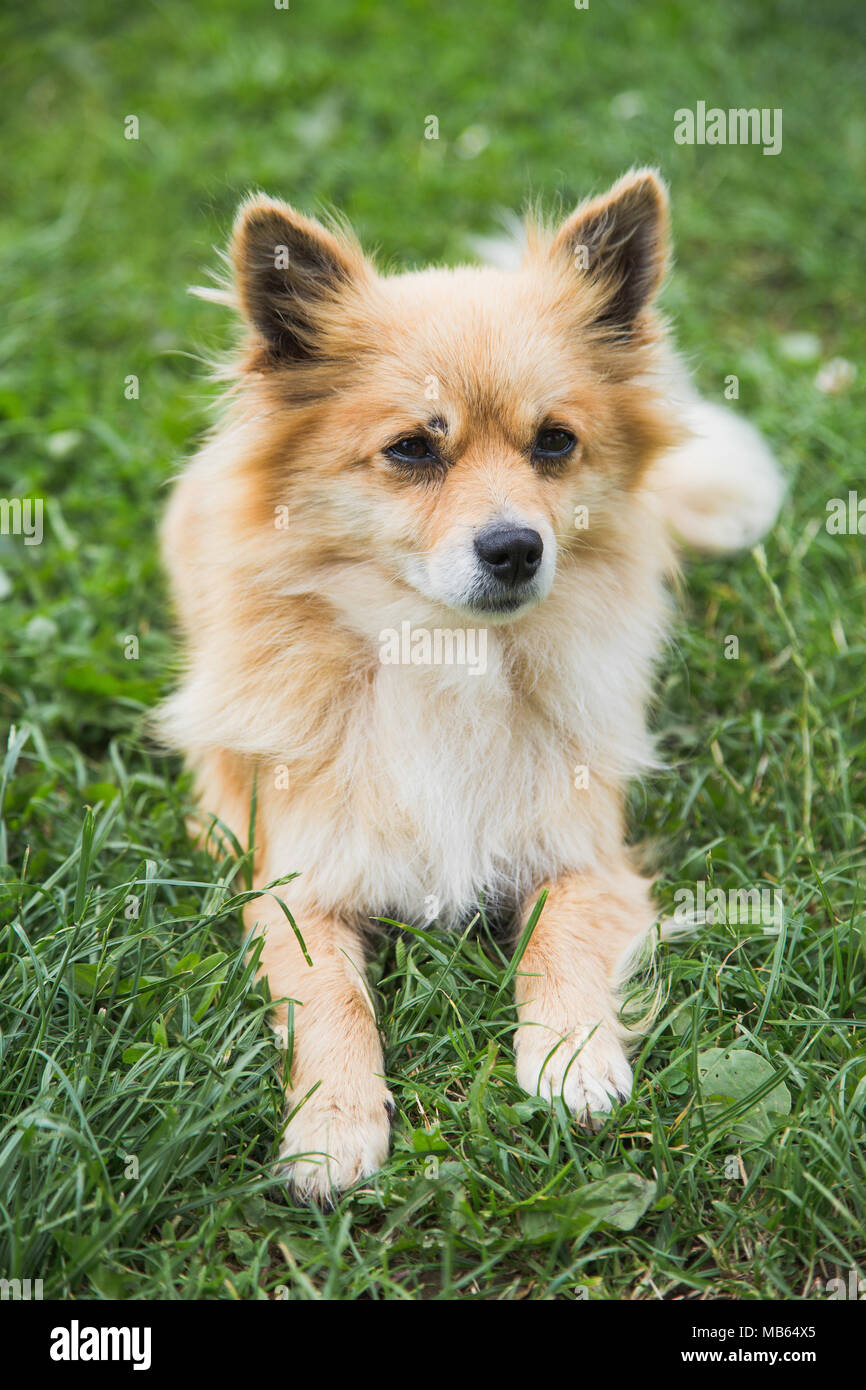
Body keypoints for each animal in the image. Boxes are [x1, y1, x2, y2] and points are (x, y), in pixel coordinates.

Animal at [157, 165, 783, 1206]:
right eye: (414, 448)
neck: (444, 654)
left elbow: (559, 940)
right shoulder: (296, 890)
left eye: (556, 442)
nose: (516, 547)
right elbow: (329, 995)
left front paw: (571, 1057)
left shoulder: (586, 859)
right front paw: (333, 1123)